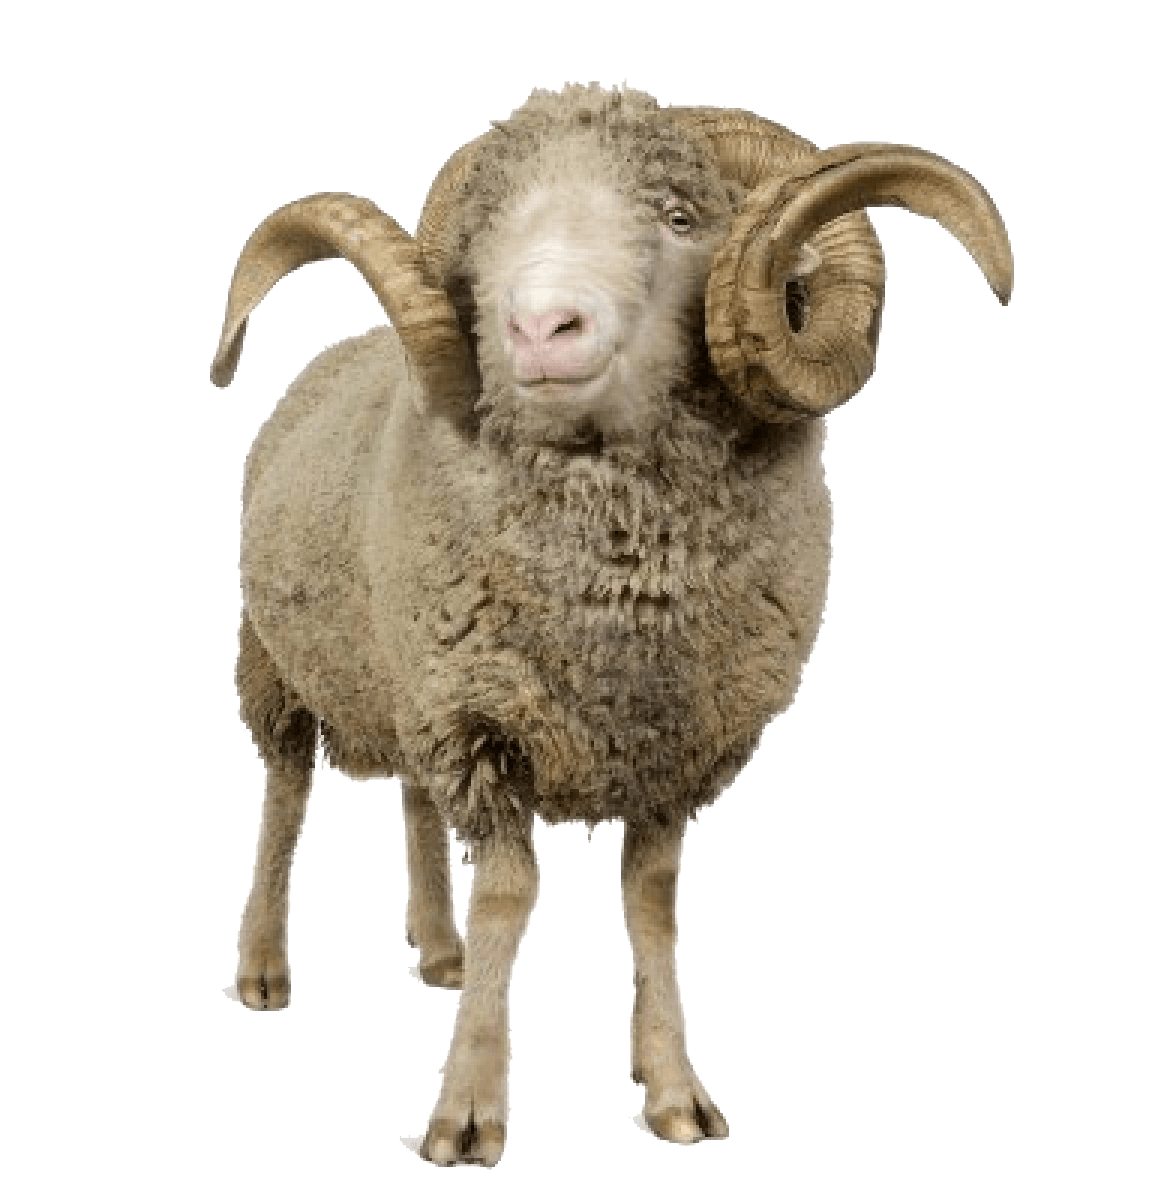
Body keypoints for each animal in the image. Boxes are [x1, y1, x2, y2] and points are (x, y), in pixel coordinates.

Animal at [212, 83, 1012, 1166]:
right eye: (489, 238)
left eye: (678, 218)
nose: (540, 326)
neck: (616, 593)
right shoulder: (481, 726)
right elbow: (510, 899)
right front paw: (466, 1112)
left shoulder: (671, 744)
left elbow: (653, 907)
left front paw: (674, 1092)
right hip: (278, 662)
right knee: (287, 793)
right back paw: (263, 968)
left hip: (403, 666)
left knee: (413, 797)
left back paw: (438, 949)